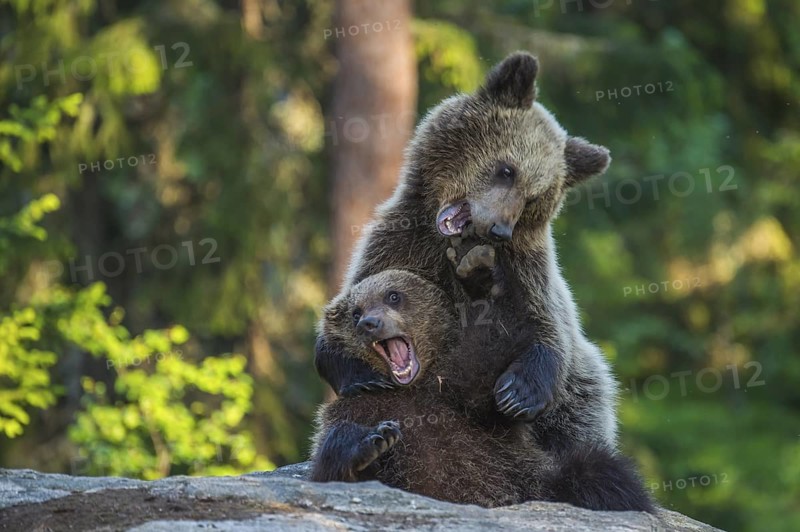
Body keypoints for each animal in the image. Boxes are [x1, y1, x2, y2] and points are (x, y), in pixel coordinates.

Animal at [311, 269, 654, 512]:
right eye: (355, 311)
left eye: (393, 296)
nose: (368, 323)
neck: (418, 386)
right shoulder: (364, 406)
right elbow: (330, 455)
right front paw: (368, 442)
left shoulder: (470, 391)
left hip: (533, 476)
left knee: (600, 474)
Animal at [315, 51, 619, 456]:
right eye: (507, 170)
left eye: (535, 197)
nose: (499, 229)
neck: (455, 247)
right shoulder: (396, 245)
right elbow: (341, 321)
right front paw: (362, 375)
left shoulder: (529, 269)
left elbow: (546, 330)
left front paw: (518, 393)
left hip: (585, 400)